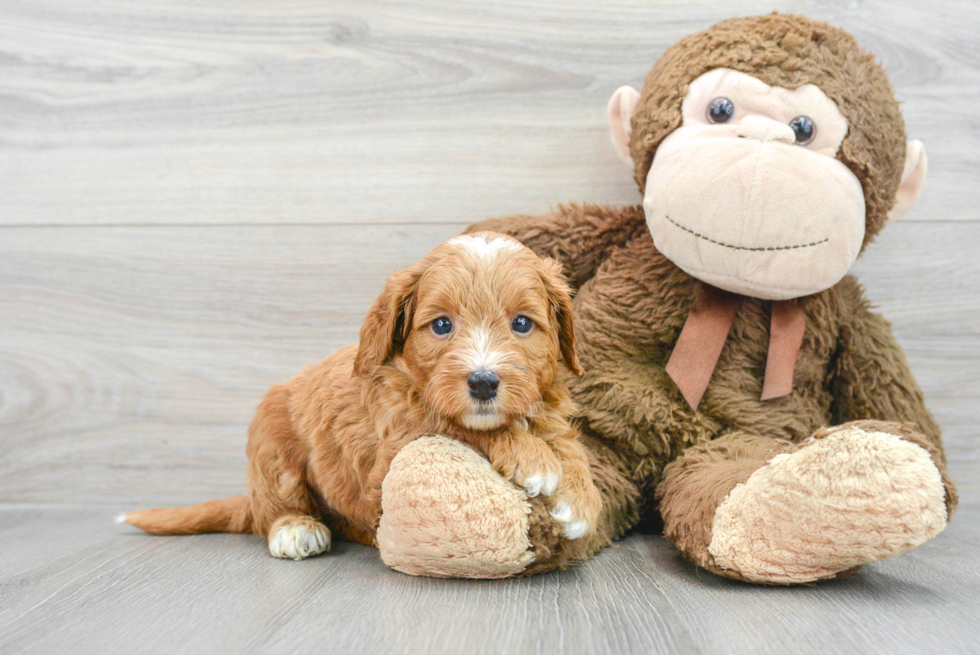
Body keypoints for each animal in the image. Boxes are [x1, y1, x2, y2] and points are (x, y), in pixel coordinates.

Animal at [123, 233, 604, 560]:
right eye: (442, 325)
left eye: (522, 324)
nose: (483, 382)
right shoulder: (398, 440)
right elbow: (453, 423)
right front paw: (533, 458)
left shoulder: (547, 410)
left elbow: (569, 446)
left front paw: (581, 498)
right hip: (271, 447)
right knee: (273, 508)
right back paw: (296, 528)